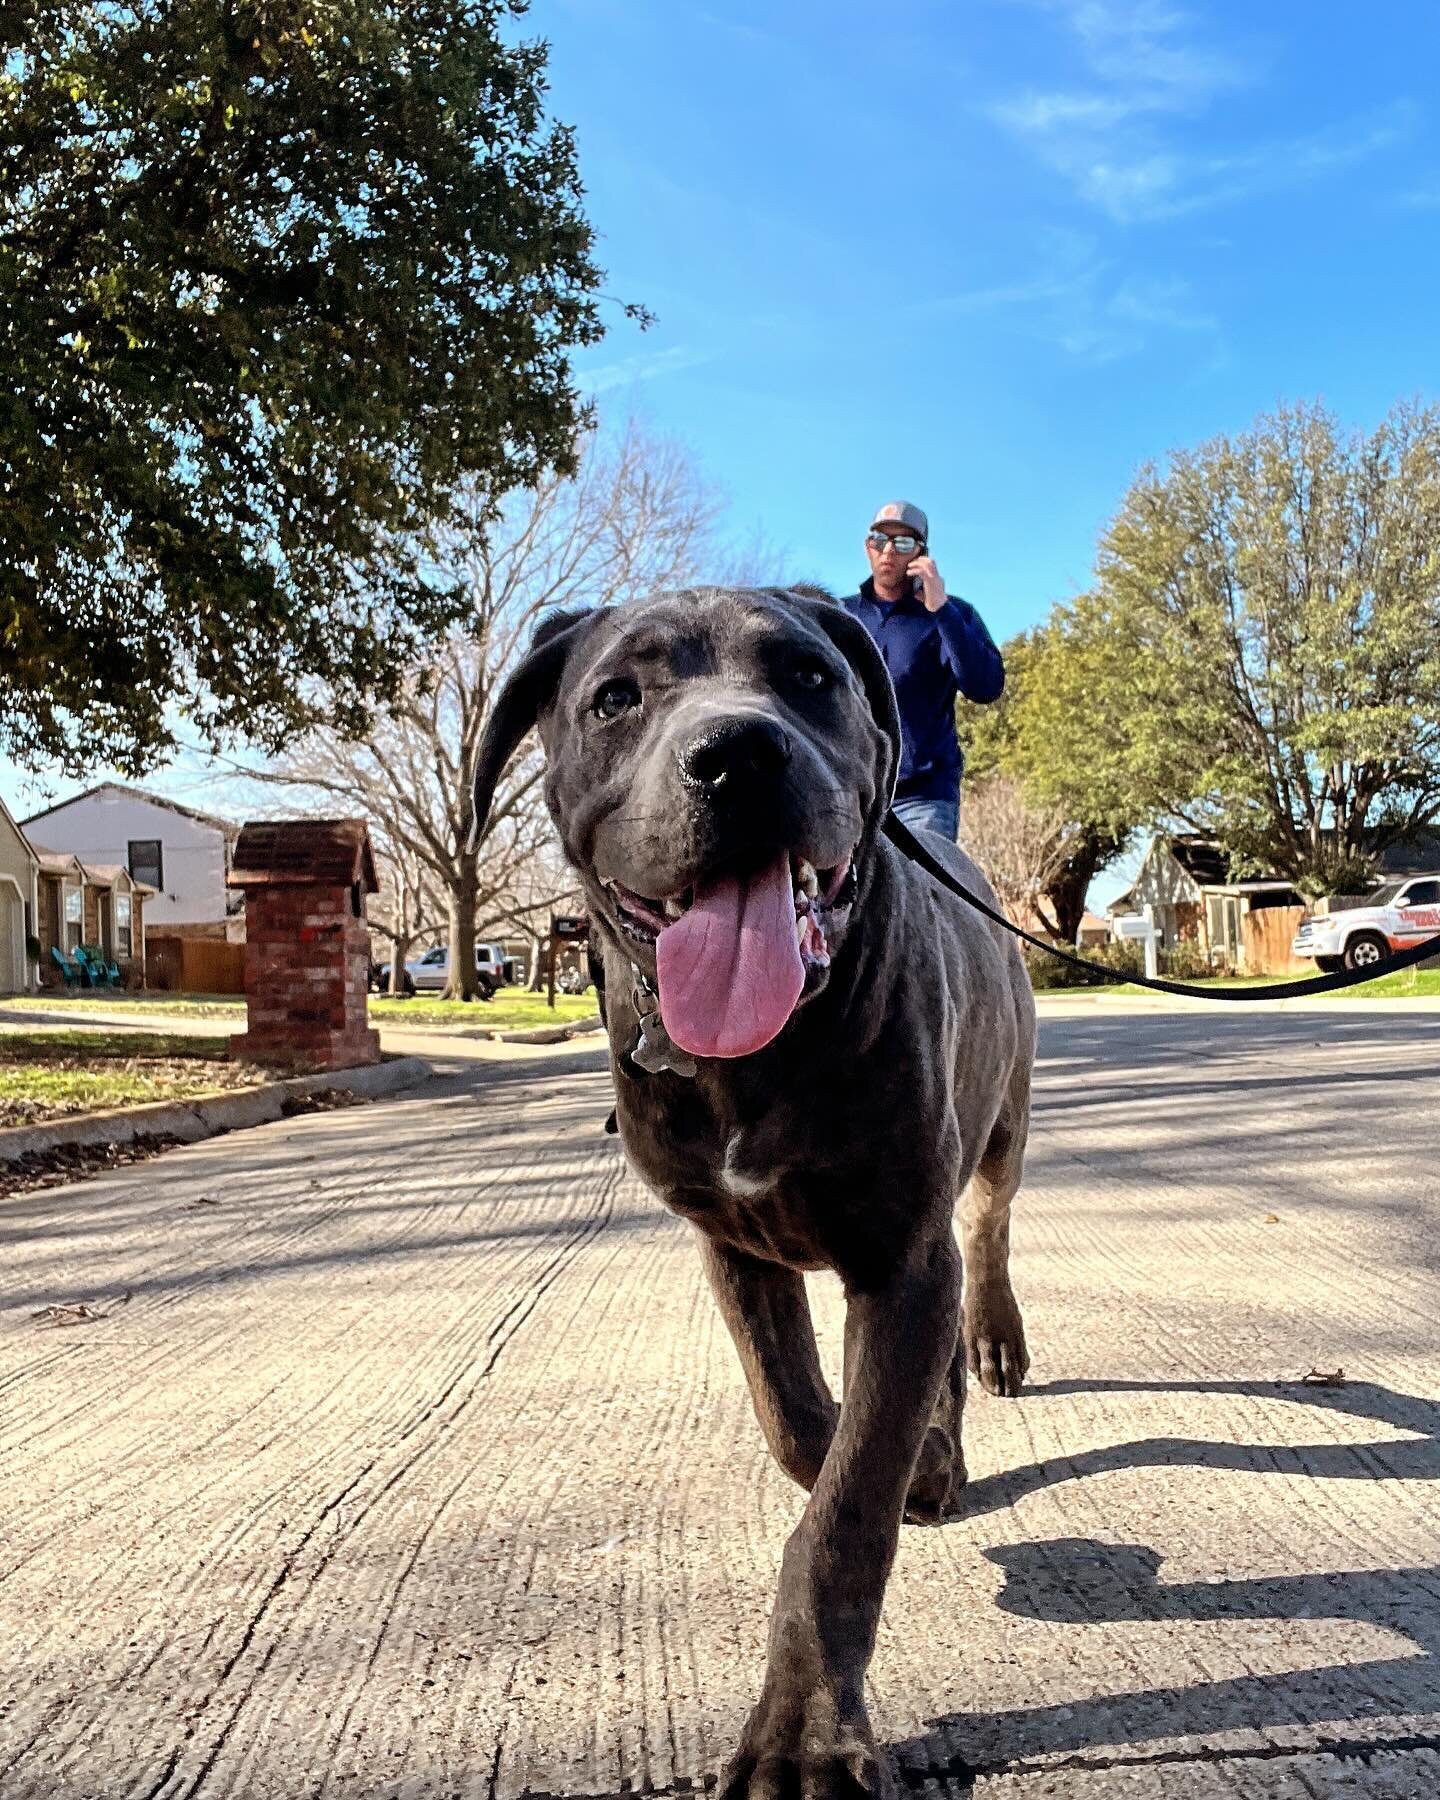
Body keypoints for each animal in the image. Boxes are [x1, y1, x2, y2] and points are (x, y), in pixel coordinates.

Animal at [471, 583, 1036, 1792]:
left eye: (809, 677)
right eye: (616, 697)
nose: (737, 754)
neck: (759, 1055)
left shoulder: (901, 1254)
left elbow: (844, 1511)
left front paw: (806, 1739)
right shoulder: (733, 1248)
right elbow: (801, 1428)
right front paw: (911, 1458)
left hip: (1000, 1126)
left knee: (989, 1231)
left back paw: (995, 1346)